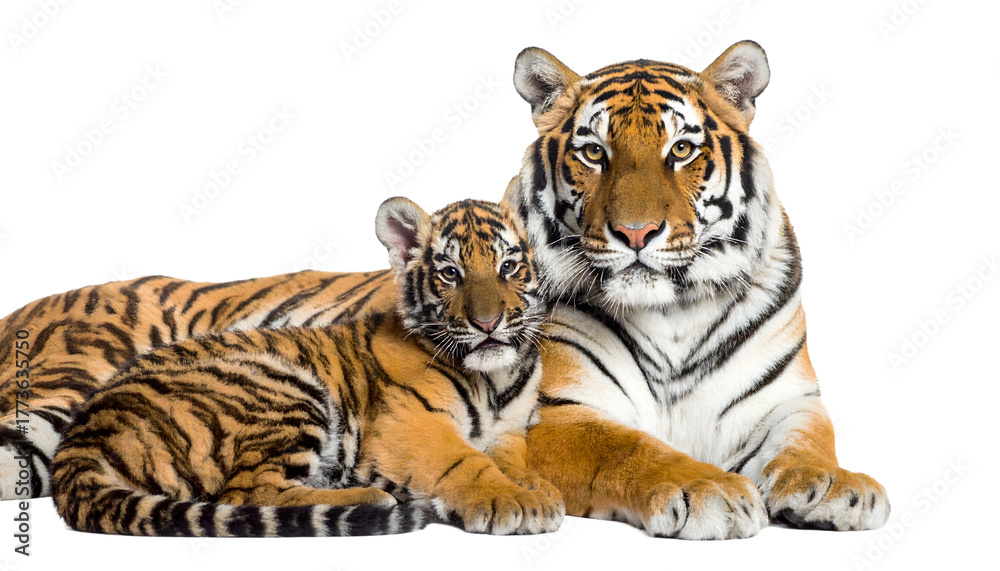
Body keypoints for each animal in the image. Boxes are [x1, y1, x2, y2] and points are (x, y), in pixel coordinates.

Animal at [49, 197, 562, 537]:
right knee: (248, 493)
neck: (494, 378)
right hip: (282, 390)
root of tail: (77, 442)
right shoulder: (408, 426)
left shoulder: (510, 431)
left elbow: (513, 461)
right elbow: (467, 460)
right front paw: (513, 501)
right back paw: (373, 499)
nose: (488, 323)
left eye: (509, 266)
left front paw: (539, 489)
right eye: (450, 273)